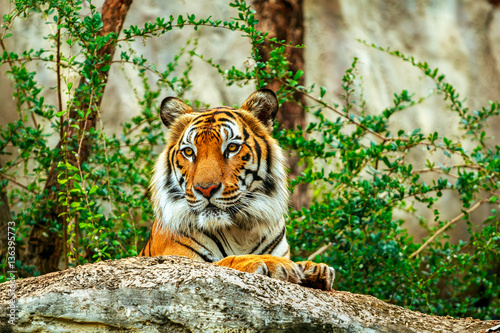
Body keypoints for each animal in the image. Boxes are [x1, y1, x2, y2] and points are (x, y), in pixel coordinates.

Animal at [140, 89, 336, 290]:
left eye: (232, 147)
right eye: (189, 152)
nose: (205, 189)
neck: (241, 230)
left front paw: (313, 268)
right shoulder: (176, 259)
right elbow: (225, 262)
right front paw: (275, 264)